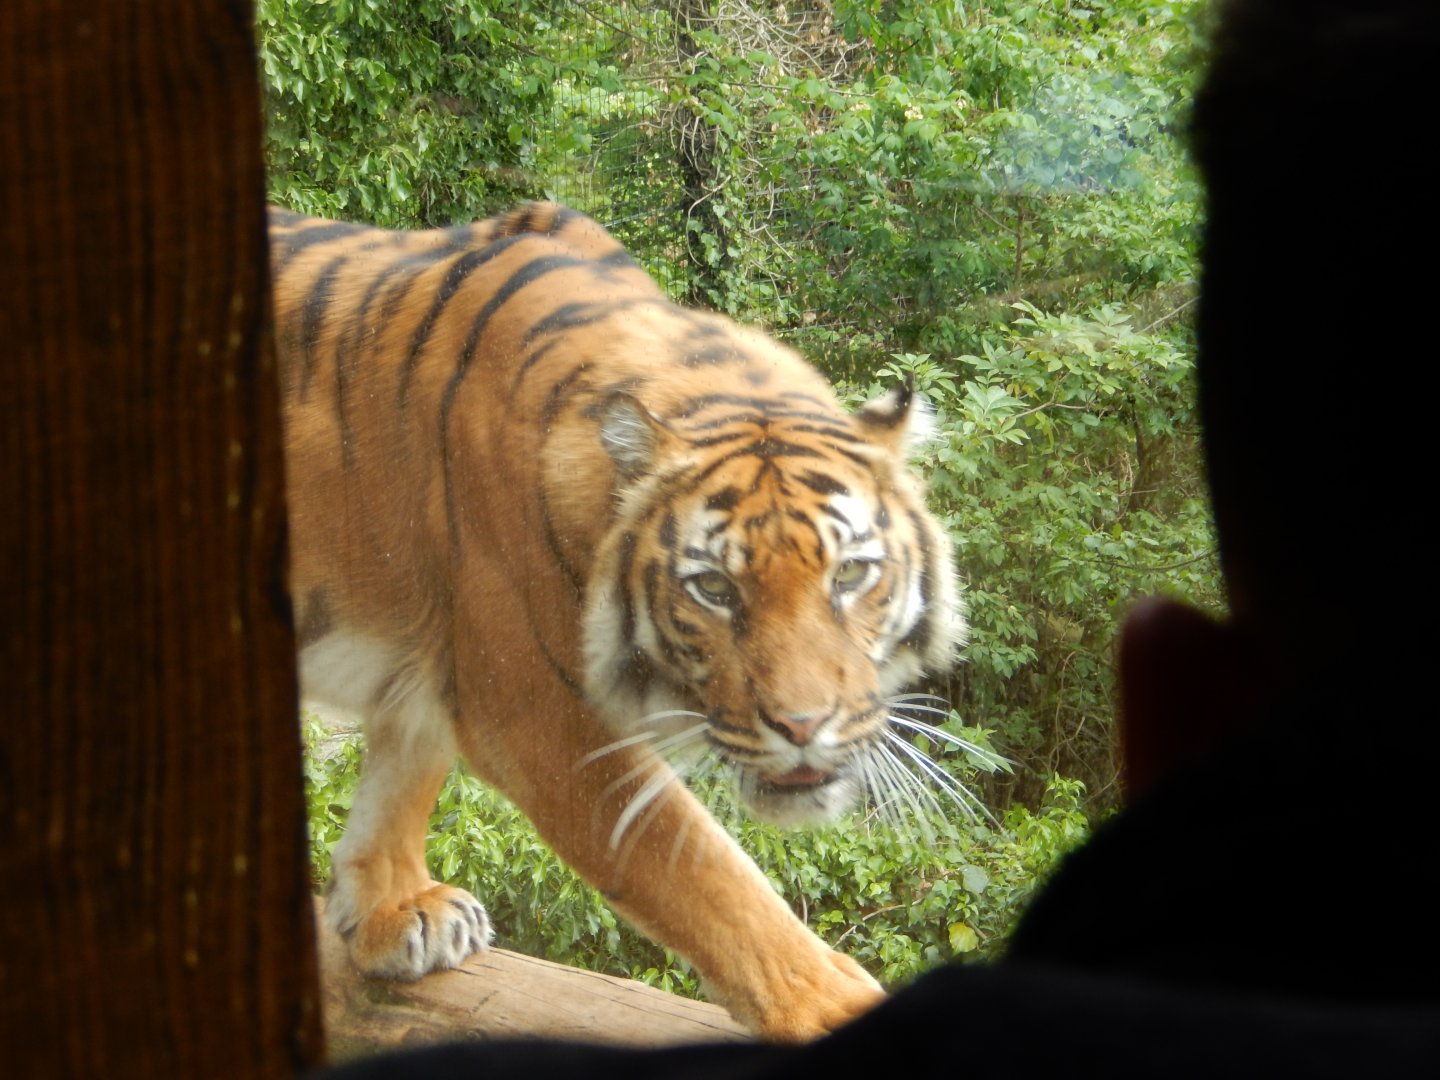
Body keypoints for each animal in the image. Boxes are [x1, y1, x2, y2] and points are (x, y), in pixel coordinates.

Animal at [269, 202, 966, 1040]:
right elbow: (707, 876)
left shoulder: (440, 657)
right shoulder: (541, 714)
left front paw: (394, 909)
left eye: (851, 574)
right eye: (714, 589)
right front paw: (833, 1004)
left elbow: (404, 767)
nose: (803, 726)